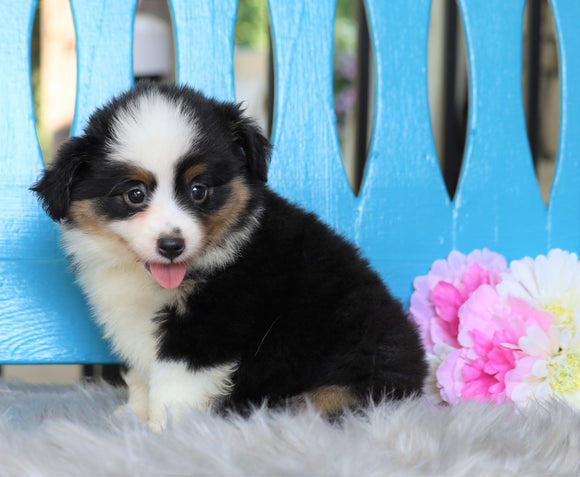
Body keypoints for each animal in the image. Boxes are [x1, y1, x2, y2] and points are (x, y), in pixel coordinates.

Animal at [32, 82, 426, 428]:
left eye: (198, 190)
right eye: (134, 194)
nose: (171, 245)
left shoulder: (209, 328)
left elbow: (175, 387)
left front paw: (164, 432)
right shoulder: (133, 324)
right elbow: (141, 376)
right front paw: (134, 415)